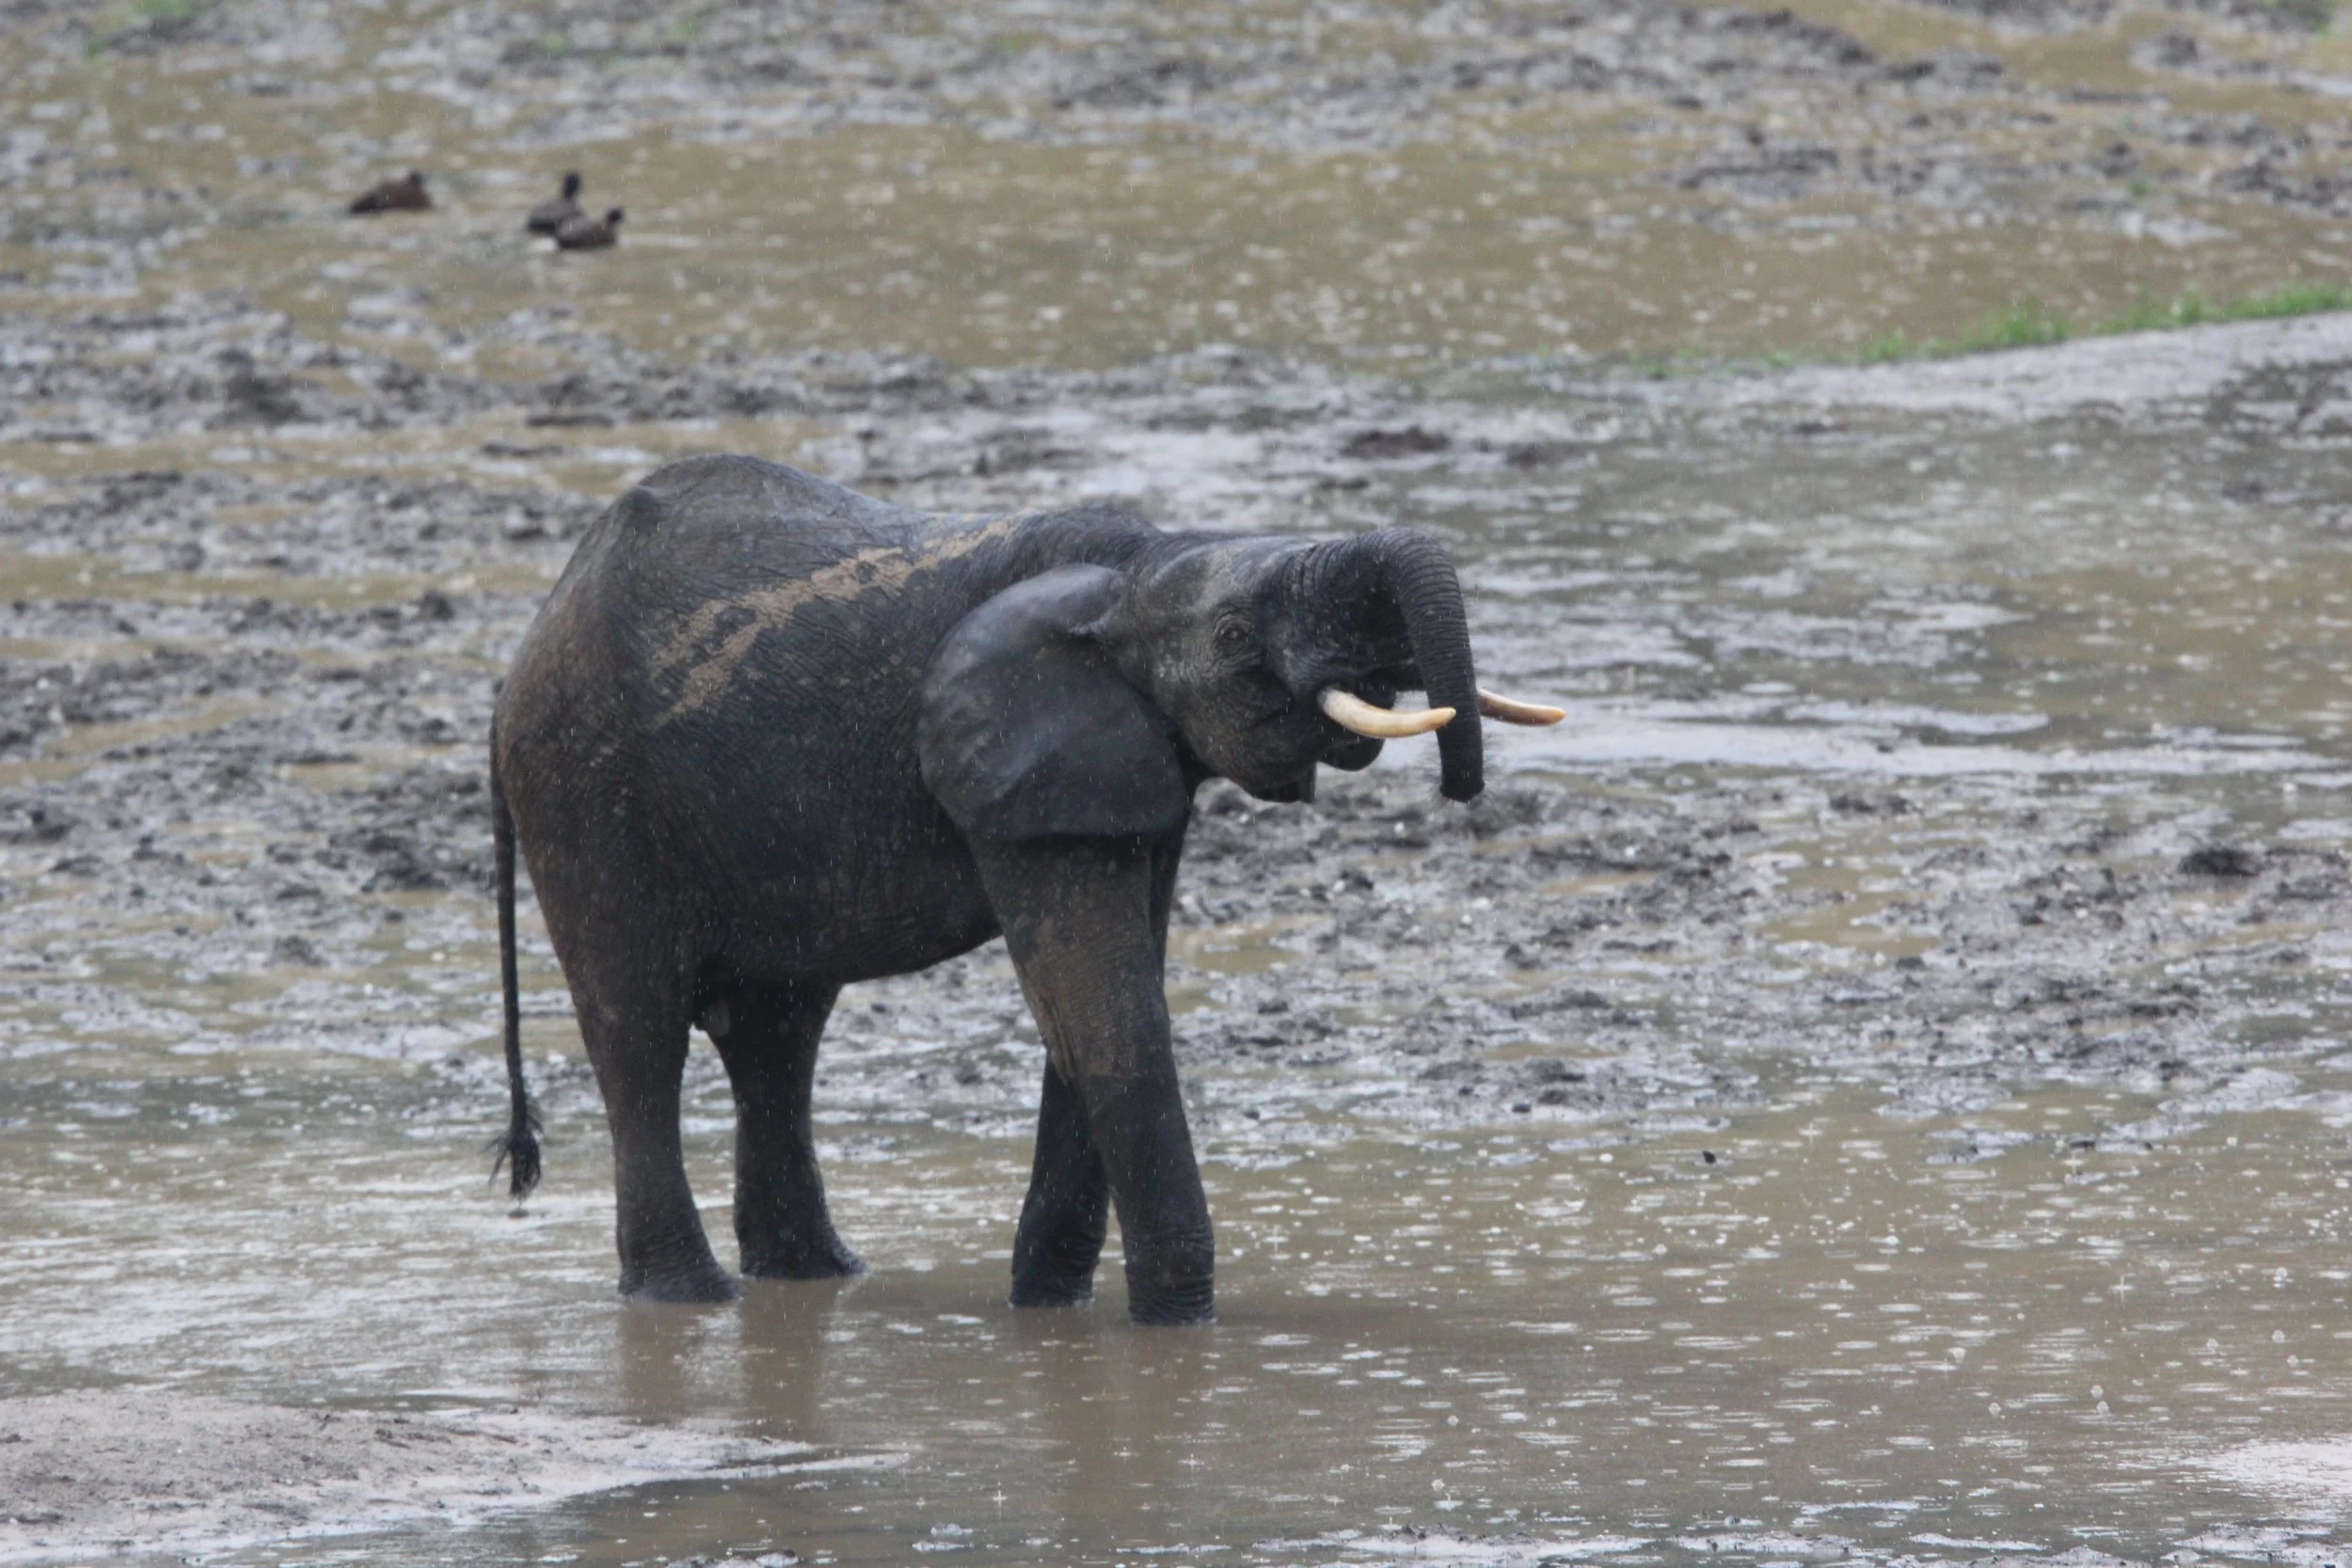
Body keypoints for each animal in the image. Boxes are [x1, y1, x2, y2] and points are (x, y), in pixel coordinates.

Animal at [487, 455, 1559, 1323]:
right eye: (1231, 630)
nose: (1461, 788)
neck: (1142, 564)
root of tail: (525, 648)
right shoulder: (1007, 757)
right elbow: (1104, 1007)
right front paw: (1173, 1331)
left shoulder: (1126, 766)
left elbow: (1098, 1004)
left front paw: (1049, 1311)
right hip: (586, 792)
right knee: (641, 1033)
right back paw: (690, 1299)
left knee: (776, 1035)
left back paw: (819, 1278)